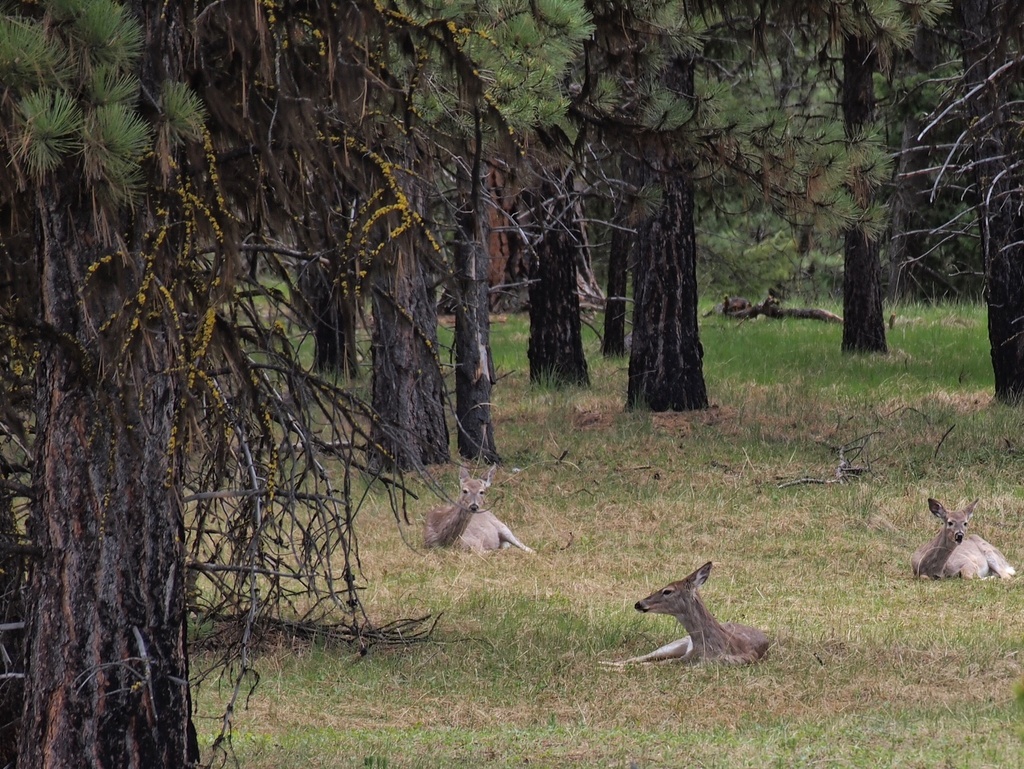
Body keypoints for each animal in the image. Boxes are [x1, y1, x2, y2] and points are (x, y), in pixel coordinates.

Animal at [598, 561, 770, 667]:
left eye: (667, 591)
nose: (638, 603)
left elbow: (654, 665)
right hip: (679, 642)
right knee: (639, 657)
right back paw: (603, 662)